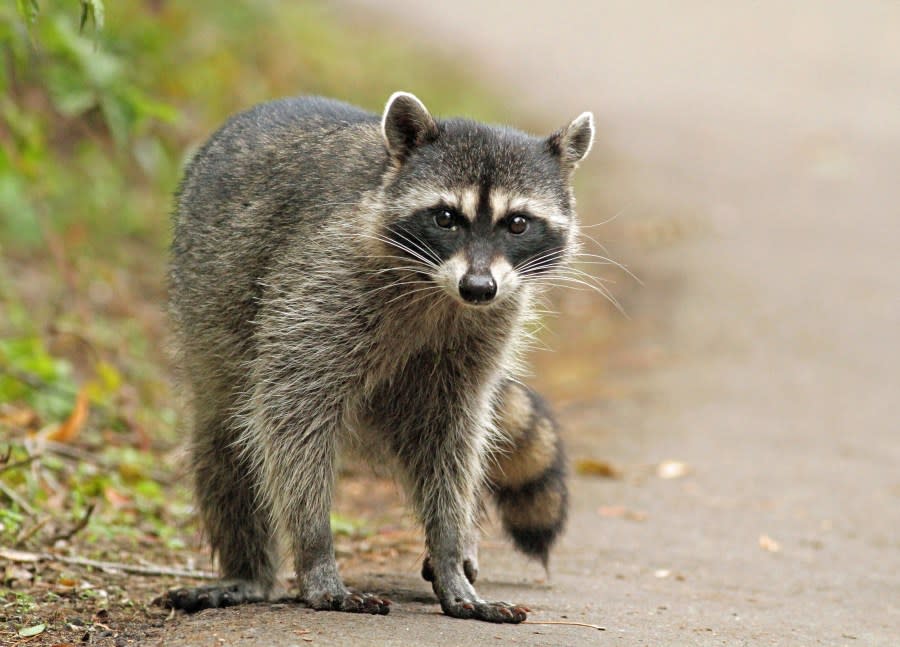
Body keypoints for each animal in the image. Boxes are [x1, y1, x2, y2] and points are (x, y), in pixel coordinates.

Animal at [165, 91, 596, 624]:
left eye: (517, 223)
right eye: (446, 217)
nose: (478, 287)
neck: (439, 290)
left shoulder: (489, 322)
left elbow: (450, 439)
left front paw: (449, 549)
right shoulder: (322, 281)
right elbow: (290, 414)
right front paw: (316, 554)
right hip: (206, 311)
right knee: (226, 443)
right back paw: (249, 571)